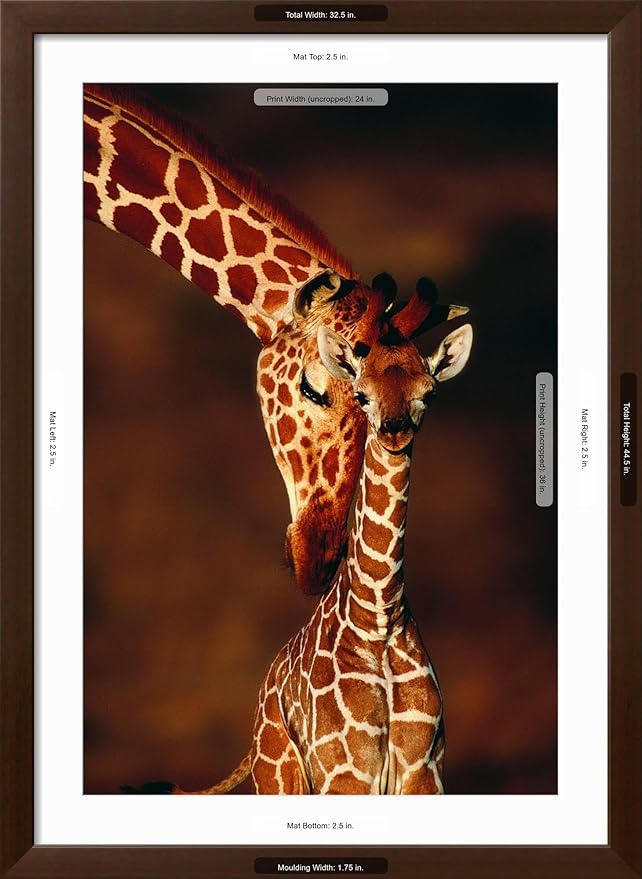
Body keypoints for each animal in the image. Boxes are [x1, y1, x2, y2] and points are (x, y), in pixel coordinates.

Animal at [145, 293, 473, 796]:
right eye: (361, 393)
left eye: (429, 392)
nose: (394, 429)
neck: (379, 617)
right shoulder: (346, 772)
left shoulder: (425, 772)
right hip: (280, 775)